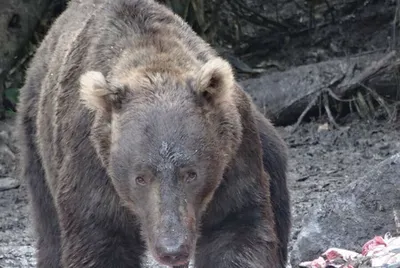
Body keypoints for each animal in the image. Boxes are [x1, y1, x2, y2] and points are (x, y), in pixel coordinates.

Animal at [15, 0, 290, 268]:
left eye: (191, 173)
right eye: (141, 177)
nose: (172, 249)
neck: (152, 61)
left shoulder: (234, 155)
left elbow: (236, 226)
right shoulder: (91, 161)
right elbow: (100, 238)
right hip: (38, 139)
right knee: (49, 224)